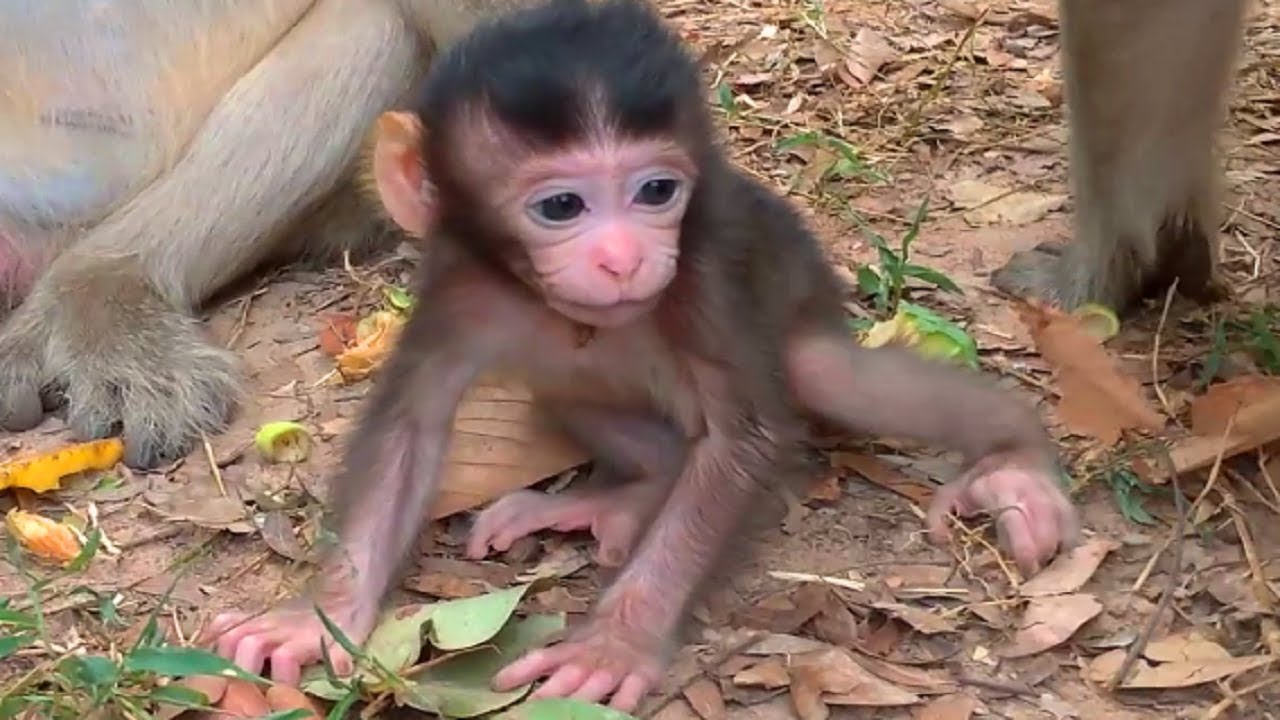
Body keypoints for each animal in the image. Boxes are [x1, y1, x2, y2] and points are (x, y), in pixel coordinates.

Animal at [204, 0, 1080, 710]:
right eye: (562, 205)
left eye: (657, 192)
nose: (625, 259)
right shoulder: (459, 282)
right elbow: (407, 429)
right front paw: (315, 620)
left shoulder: (704, 275)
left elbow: (741, 440)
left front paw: (615, 643)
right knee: (568, 384)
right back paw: (621, 498)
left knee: (828, 376)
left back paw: (1015, 465)